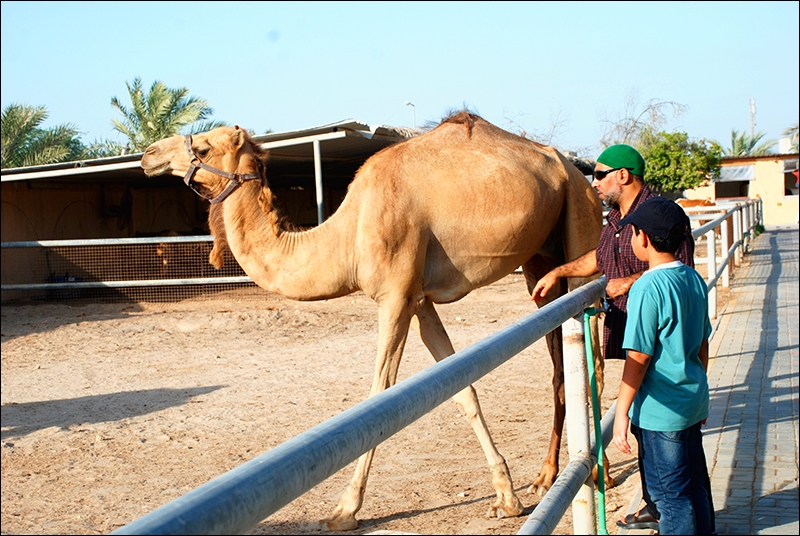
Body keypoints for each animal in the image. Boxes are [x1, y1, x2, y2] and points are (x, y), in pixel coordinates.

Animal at [140, 111, 606, 531]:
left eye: (203, 148)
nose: (148, 155)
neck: (346, 235)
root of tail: (578, 173)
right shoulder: (418, 301)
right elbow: (462, 388)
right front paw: (506, 498)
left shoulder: (395, 296)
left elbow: (379, 398)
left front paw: (345, 510)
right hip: (540, 262)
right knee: (559, 365)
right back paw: (544, 478)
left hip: (581, 221)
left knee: (595, 356)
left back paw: (596, 468)